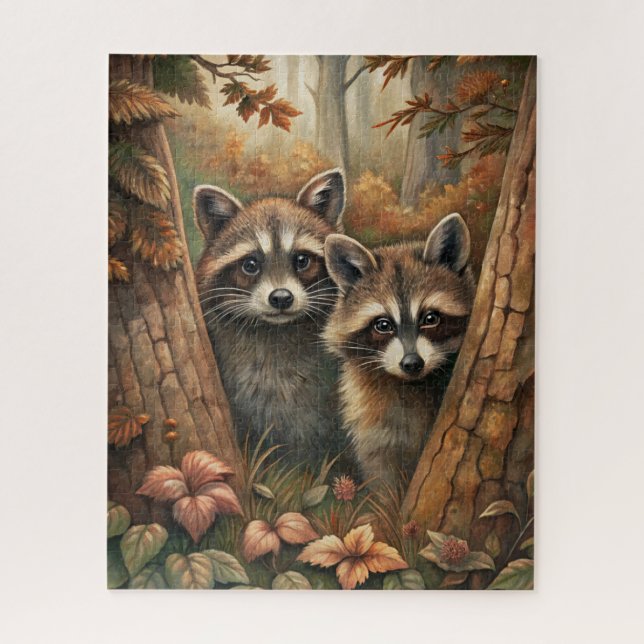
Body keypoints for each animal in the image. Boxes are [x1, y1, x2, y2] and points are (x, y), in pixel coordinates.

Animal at [323, 214, 475, 490]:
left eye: (430, 318)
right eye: (383, 325)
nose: (412, 363)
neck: (410, 385)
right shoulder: (374, 423)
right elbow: (383, 476)